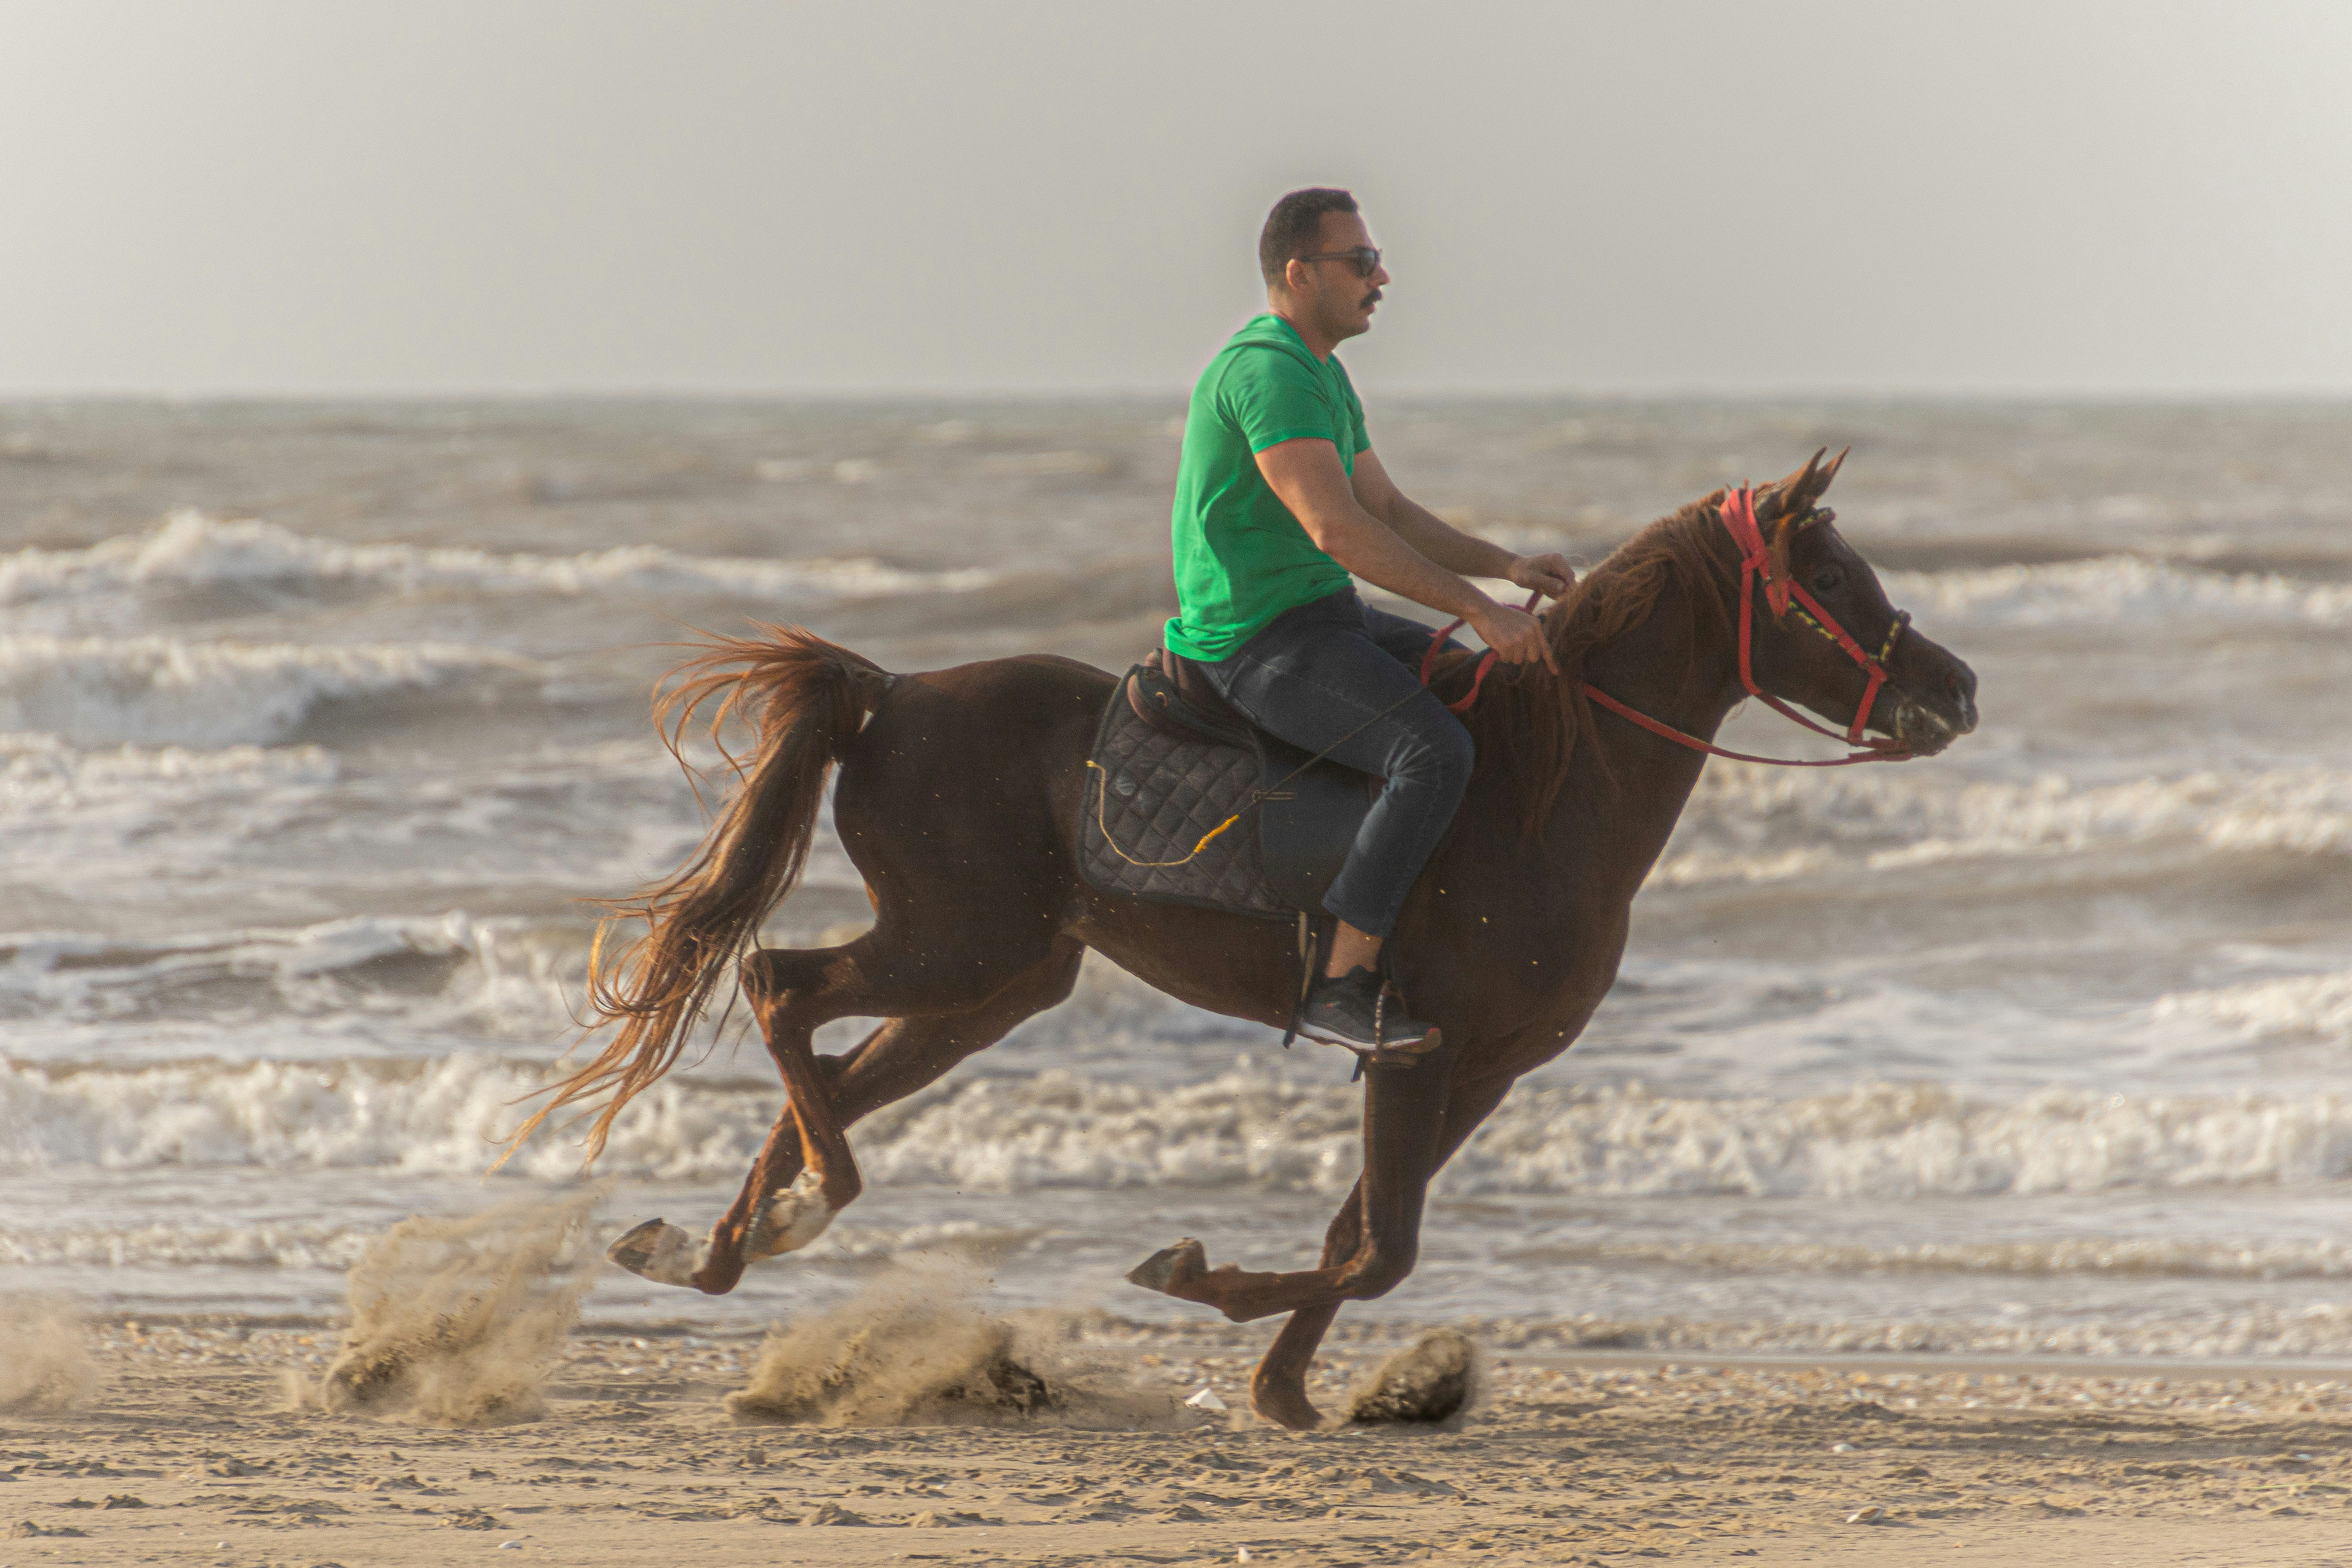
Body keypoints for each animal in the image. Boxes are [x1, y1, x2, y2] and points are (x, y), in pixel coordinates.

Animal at [520, 449, 1979, 1430]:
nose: (1956, 689)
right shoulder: (1413, 1048)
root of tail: (890, 694)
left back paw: (728, 1244)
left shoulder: (1480, 1065)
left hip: (994, 982)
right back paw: (801, 1210)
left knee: (824, 1055)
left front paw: (1280, 1383)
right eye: (1828, 575)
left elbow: (1362, 1233)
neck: (1542, 785)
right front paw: (1204, 1284)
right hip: (955, 947)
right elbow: (1380, 1246)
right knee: (783, 988)